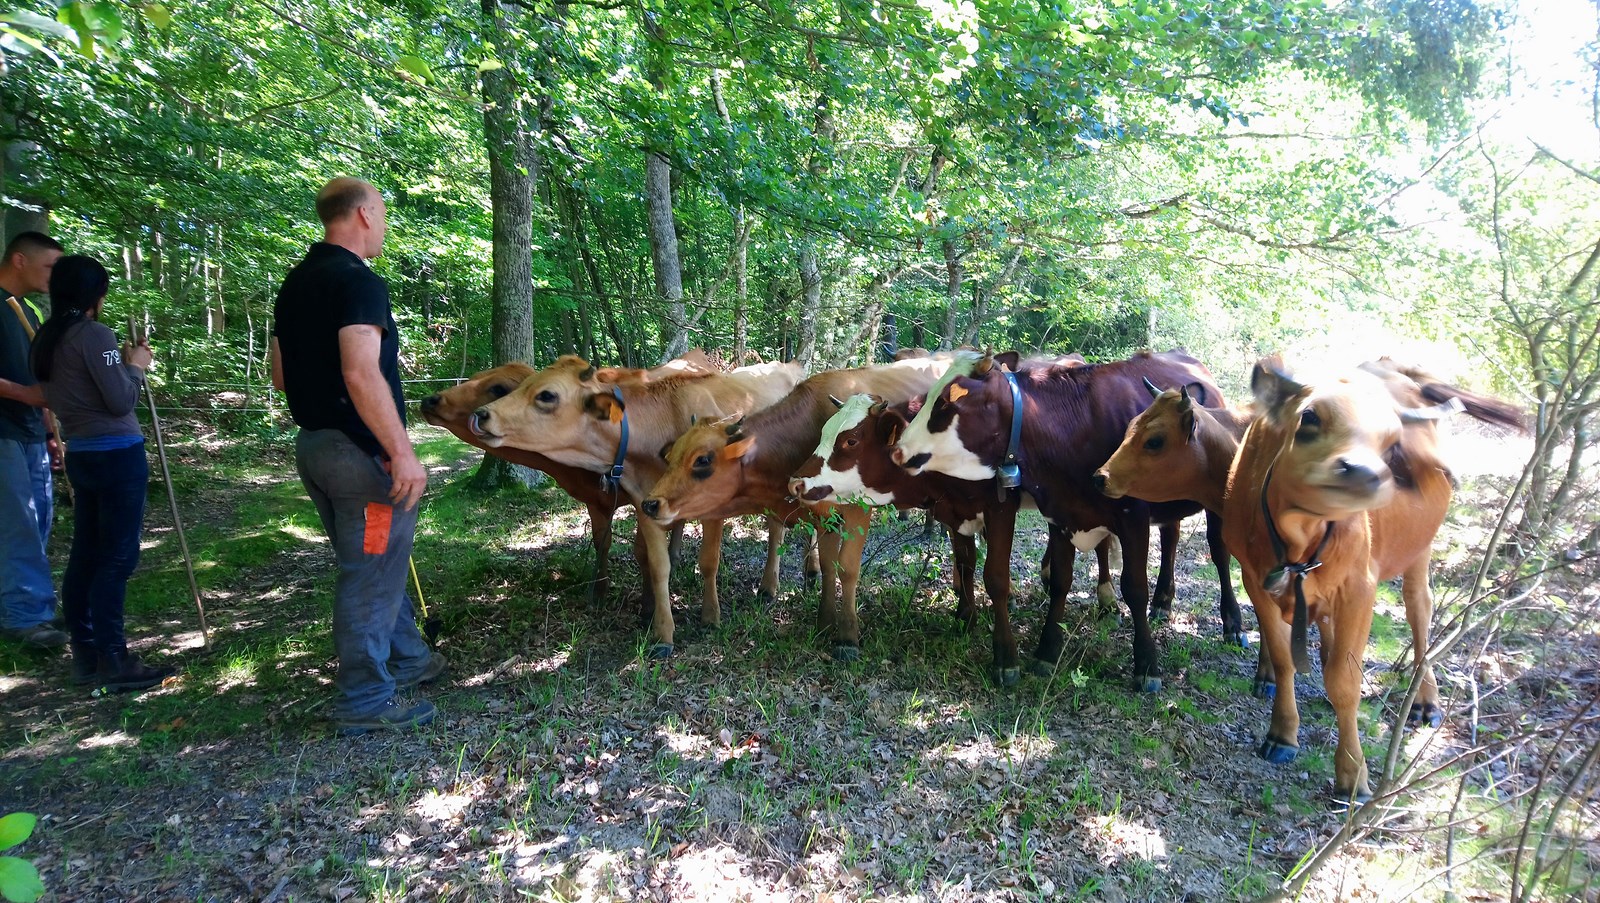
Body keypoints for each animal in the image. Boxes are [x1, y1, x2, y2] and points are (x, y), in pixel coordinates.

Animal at [467, 352, 806, 656]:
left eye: (547, 395)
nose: (482, 414)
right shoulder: (646, 504)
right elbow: (658, 567)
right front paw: (663, 633)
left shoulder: (713, 507)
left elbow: (709, 561)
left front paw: (710, 616)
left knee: (778, 530)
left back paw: (775, 584)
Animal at [636, 357, 947, 653]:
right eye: (671, 456)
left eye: (702, 460)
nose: (650, 504)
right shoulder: (824, 515)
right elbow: (829, 565)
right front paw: (825, 621)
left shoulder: (858, 509)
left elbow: (847, 568)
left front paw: (847, 636)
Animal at [889, 350, 1235, 685]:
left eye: (944, 403)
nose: (898, 450)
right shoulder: (1060, 513)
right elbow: (1059, 581)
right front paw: (1046, 651)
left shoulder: (1132, 517)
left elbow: (1135, 588)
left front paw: (1147, 665)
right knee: (1171, 534)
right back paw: (1163, 601)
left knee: (1219, 553)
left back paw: (1231, 623)